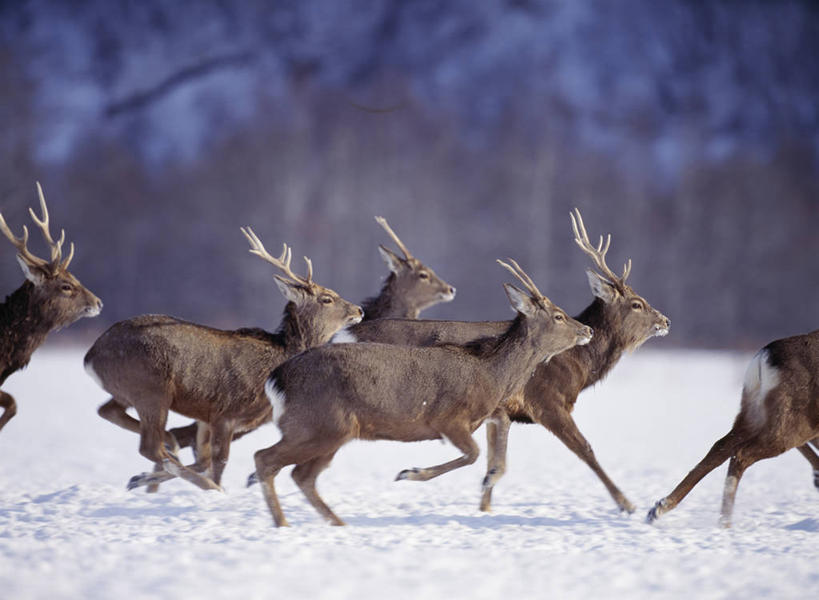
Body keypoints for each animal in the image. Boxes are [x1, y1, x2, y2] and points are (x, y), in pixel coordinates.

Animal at [85, 231, 364, 492]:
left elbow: (205, 459)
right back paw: (198, 481)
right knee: (149, 446)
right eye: (327, 298)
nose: (359, 310)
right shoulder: (226, 411)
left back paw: (153, 465)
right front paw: (216, 490)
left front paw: (142, 478)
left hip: (128, 391)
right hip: (152, 389)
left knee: (109, 412)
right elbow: (218, 462)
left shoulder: (209, 416)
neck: (277, 357)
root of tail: (90, 357)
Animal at [253, 258, 592, 524]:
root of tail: (276, 379)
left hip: (335, 430)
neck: (490, 374)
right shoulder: (446, 418)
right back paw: (284, 523)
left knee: (300, 474)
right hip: (318, 424)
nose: (587, 330)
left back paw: (334, 523)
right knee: (265, 458)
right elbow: (472, 454)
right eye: (558, 315)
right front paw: (409, 473)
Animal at [318, 209, 668, 512]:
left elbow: (495, 462)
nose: (665, 321)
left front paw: (484, 505)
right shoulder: (546, 401)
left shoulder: (501, 411)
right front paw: (627, 504)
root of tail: (343, 333)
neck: (579, 366)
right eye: (637, 303)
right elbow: (586, 450)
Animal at [648, 330, 819, 528]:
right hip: (794, 423)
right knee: (742, 454)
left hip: (751, 412)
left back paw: (660, 507)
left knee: (720, 447)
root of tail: (764, 358)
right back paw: (725, 523)